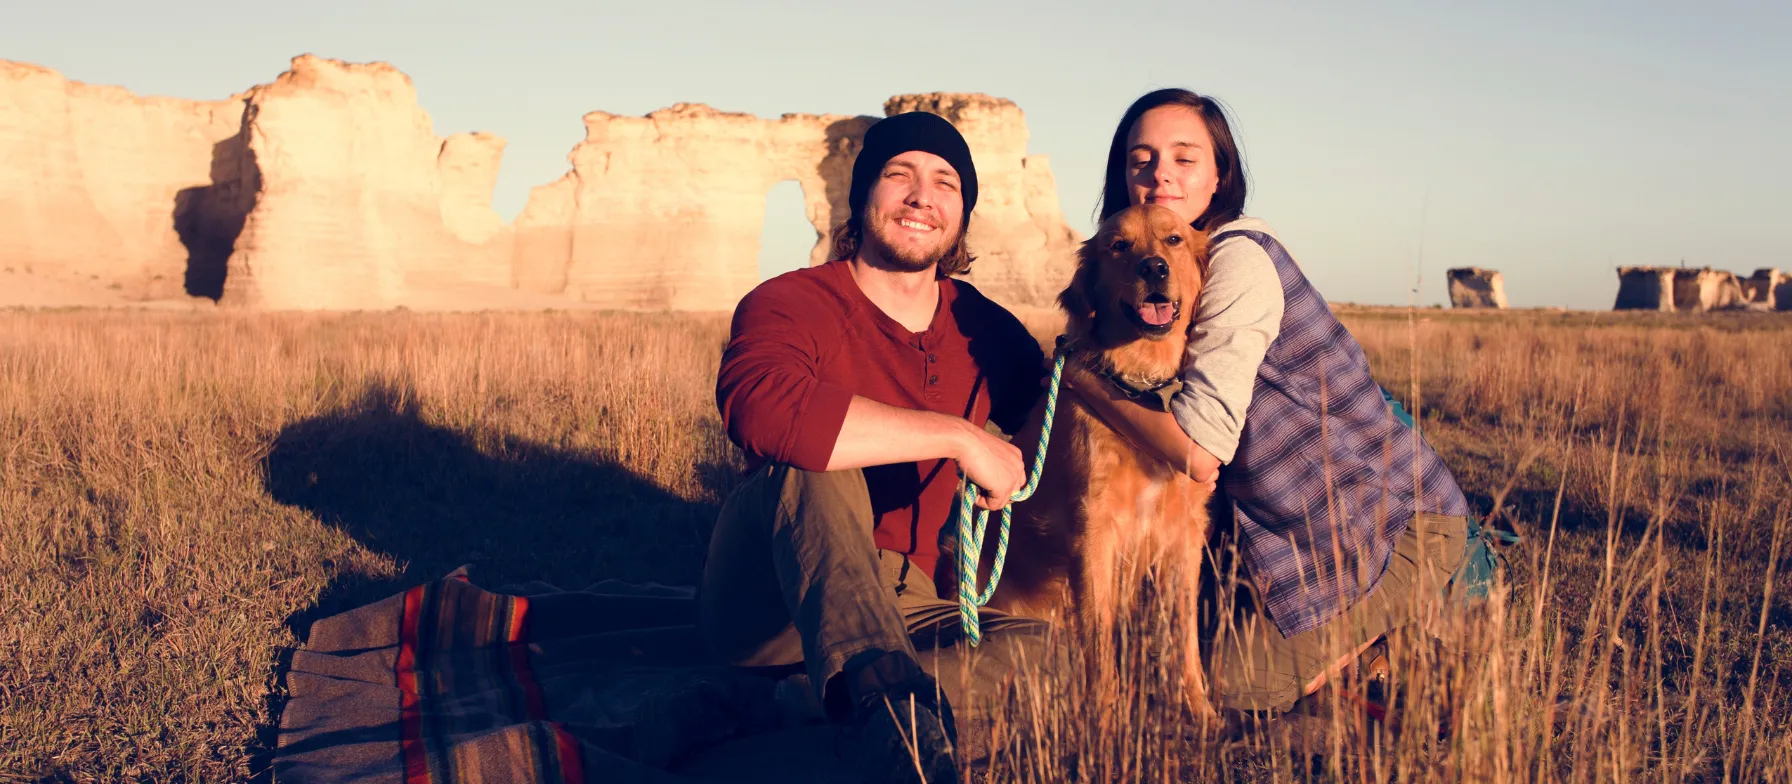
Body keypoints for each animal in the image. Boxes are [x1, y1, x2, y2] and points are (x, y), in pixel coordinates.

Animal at [974, 206, 1211, 715]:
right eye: (1118, 246)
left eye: (1174, 239)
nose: (1154, 268)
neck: (1143, 384)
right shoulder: (1094, 529)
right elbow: (1098, 640)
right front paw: (1104, 717)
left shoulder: (1184, 532)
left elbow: (1183, 632)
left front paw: (1198, 707)